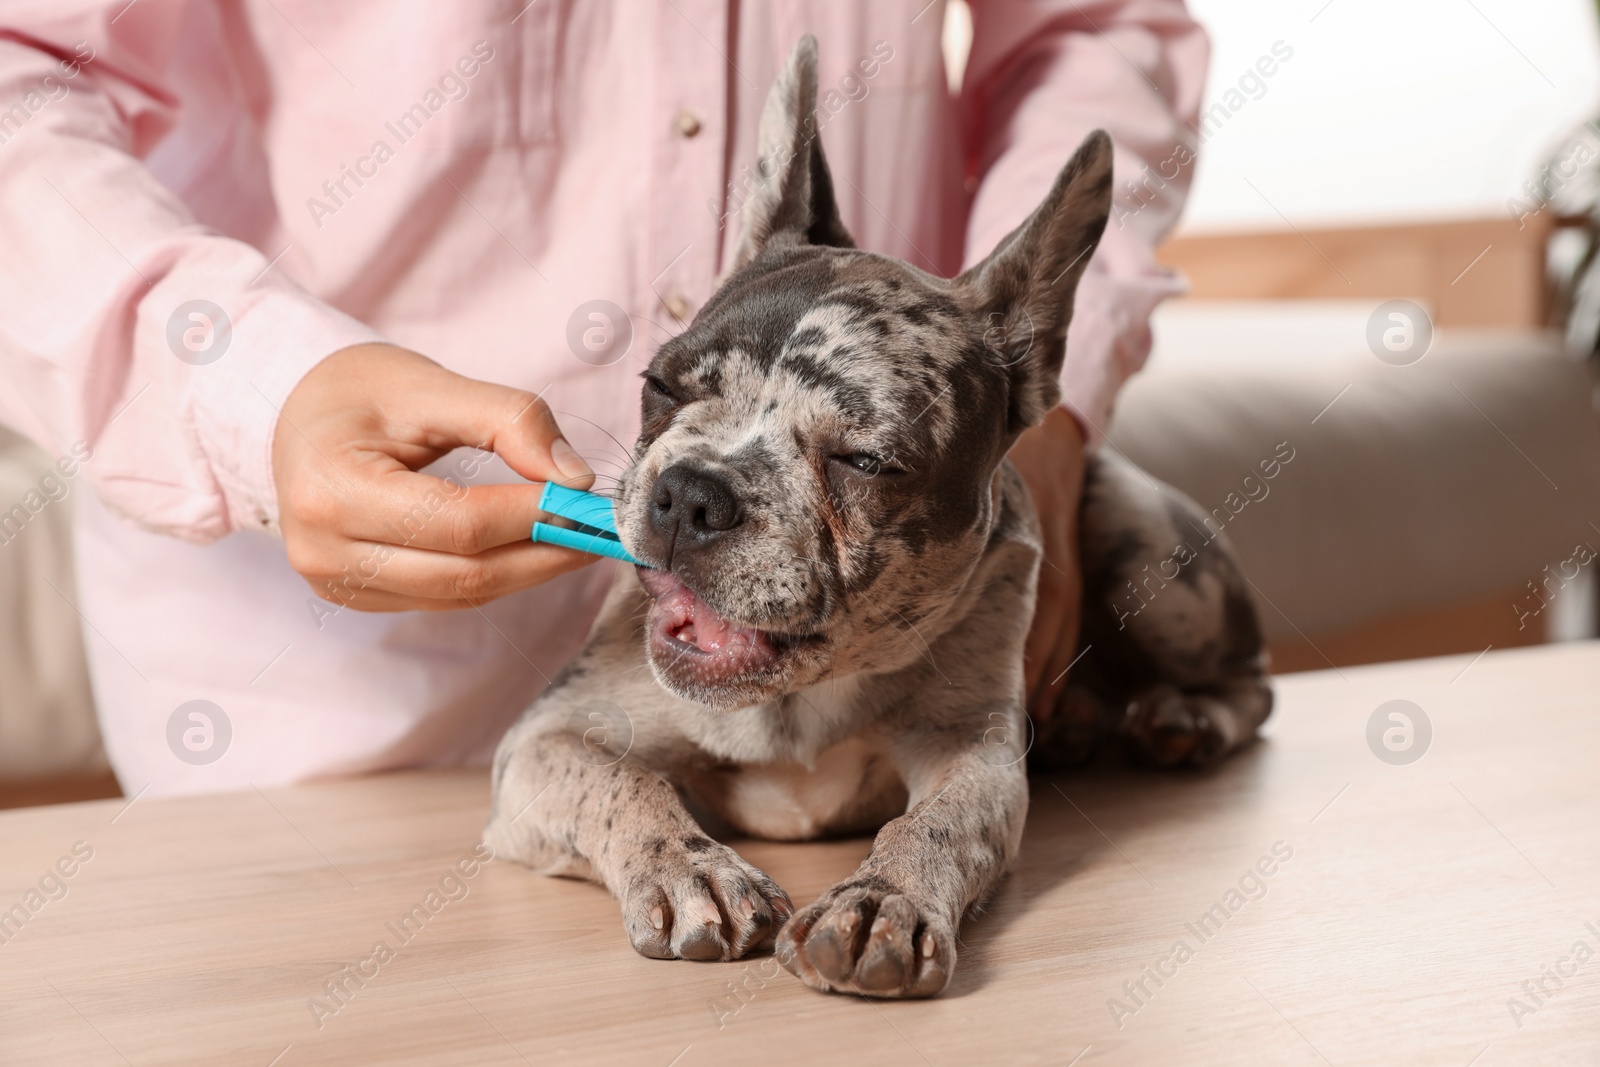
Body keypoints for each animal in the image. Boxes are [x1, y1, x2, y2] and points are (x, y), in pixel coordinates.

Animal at [486, 35, 1273, 1004]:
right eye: (660, 386)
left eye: (863, 461)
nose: (692, 491)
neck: (793, 702)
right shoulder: (542, 742)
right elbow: (623, 783)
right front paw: (688, 866)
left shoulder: (973, 755)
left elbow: (936, 825)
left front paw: (880, 903)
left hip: (1151, 555)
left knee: (1254, 681)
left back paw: (1183, 718)